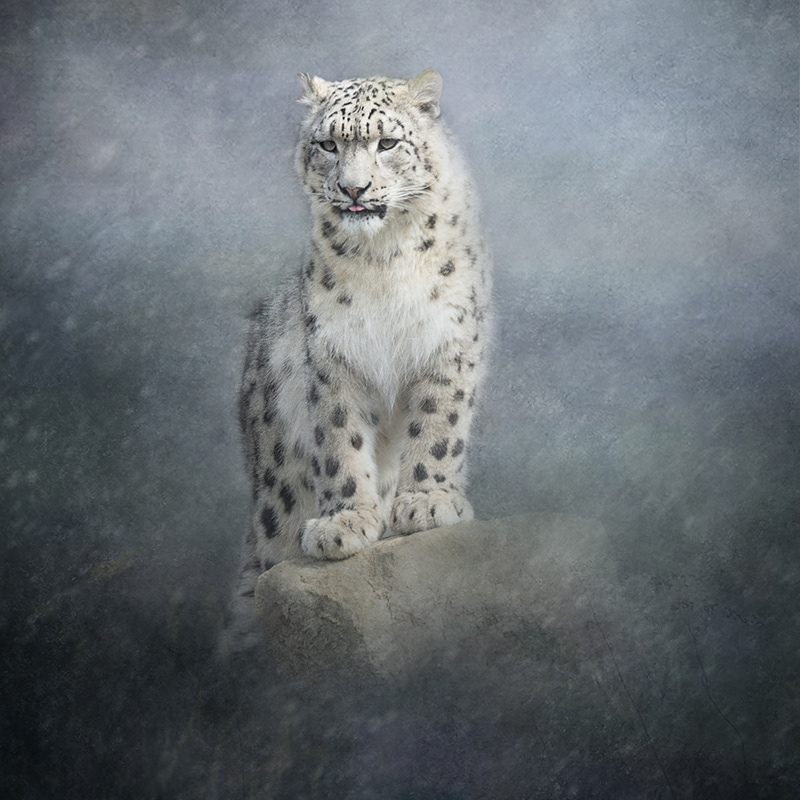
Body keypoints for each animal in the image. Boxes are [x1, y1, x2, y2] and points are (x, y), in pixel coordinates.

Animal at [229, 69, 492, 641]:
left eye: (387, 143)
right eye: (328, 144)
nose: (353, 188)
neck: (384, 258)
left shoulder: (449, 343)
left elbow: (438, 427)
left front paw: (428, 502)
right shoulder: (332, 356)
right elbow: (340, 439)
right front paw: (345, 523)